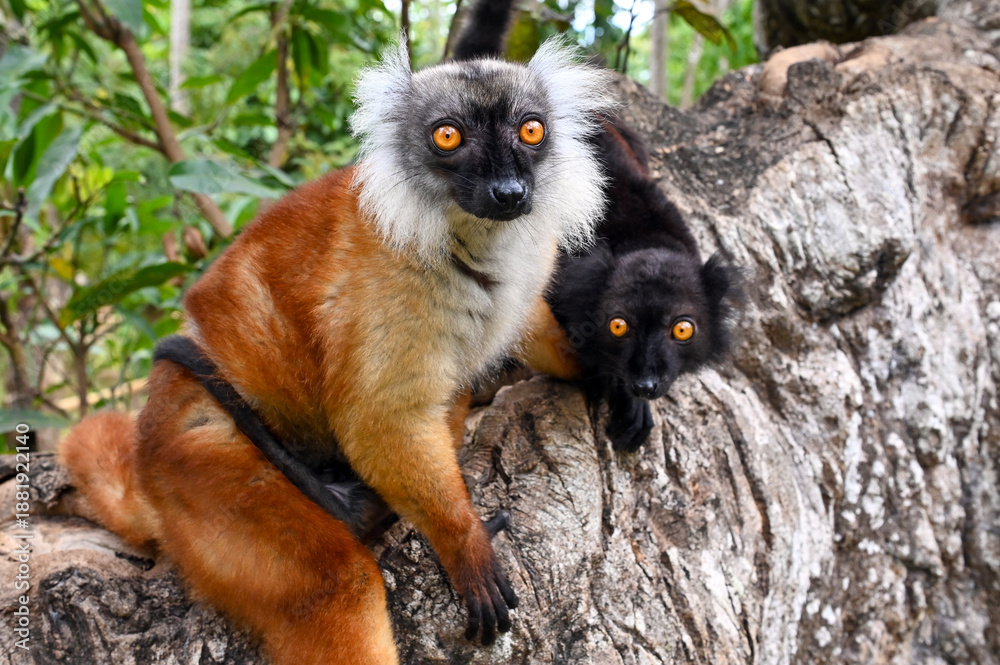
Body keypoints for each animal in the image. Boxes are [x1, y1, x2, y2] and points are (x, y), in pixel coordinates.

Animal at [59, 38, 611, 665]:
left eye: (531, 130)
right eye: (448, 137)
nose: (509, 193)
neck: (473, 240)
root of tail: (150, 442)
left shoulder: (530, 260)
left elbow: (532, 328)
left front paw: (602, 368)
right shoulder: (392, 287)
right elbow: (378, 421)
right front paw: (464, 544)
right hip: (198, 466)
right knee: (334, 583)